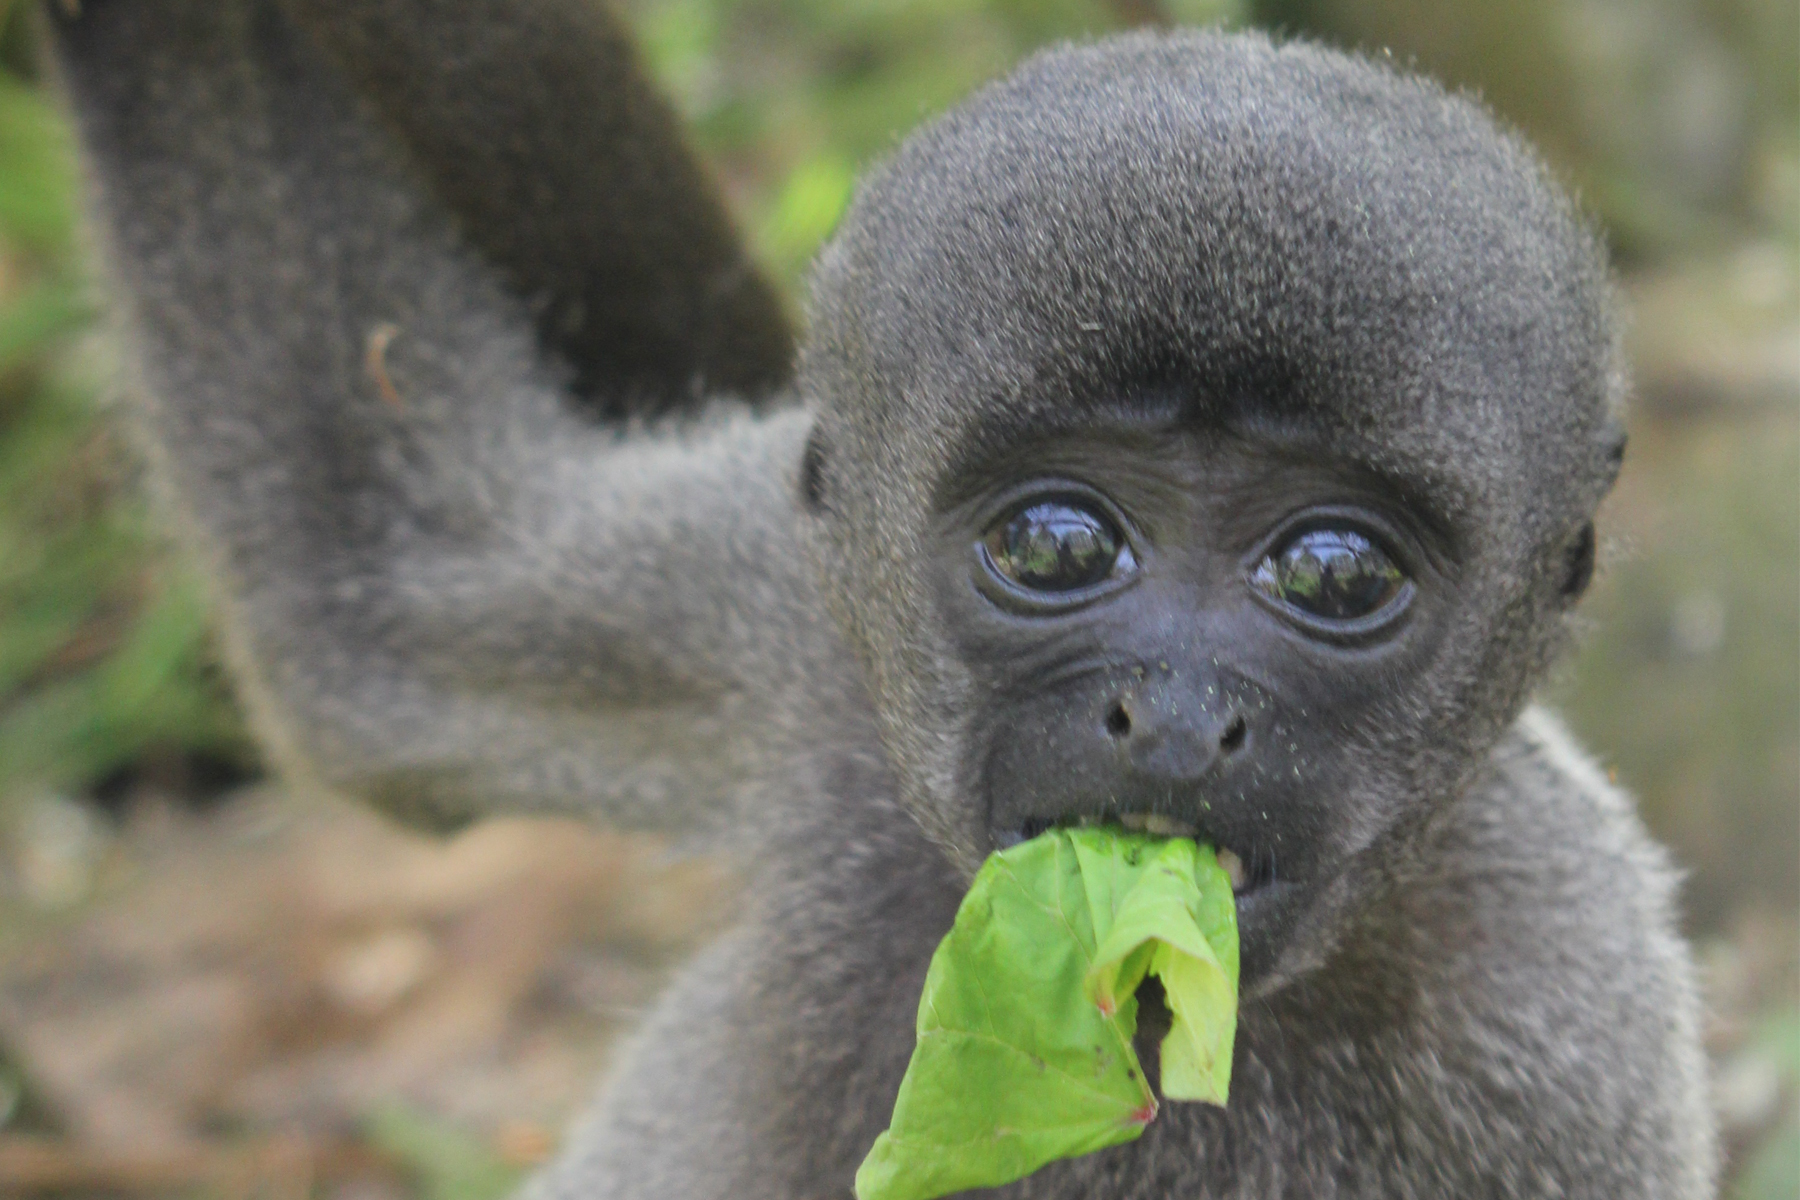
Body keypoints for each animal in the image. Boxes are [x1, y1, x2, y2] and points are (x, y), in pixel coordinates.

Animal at [42, 2, 1713, 1200]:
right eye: (1055, 544)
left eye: (1338, 573)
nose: (1179, 713)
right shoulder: (779, 611)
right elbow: (369, 603)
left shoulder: (1571, 1019)